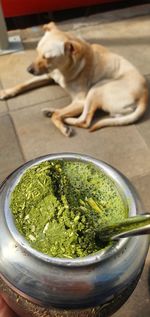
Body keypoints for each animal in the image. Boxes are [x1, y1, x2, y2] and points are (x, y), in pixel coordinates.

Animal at [0, 21, 148, 136]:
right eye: (36, 52)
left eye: (48, 58)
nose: (29, 70)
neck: (62, 69)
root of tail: (144, 96)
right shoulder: (48, 75)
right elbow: (23, 84)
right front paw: (5, 92)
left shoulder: (80, 101)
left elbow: (61, 115)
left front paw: (62, 126)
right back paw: (51, 111)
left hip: (96, 88)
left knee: (84, 120)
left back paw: (64, 119)